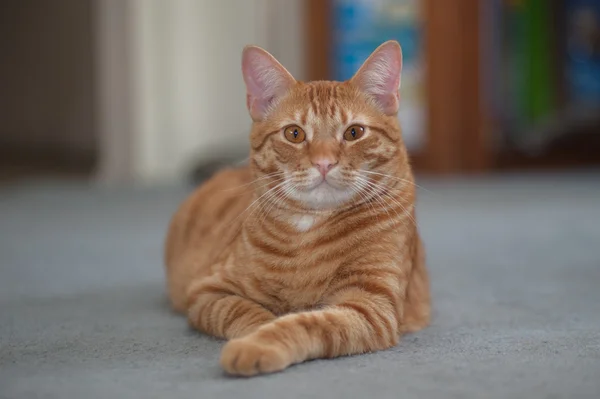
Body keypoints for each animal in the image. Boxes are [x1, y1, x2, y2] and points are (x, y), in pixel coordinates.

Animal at [162, 41, 428, 378]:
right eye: (294, 134)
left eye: (354, 132)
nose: (324, 163)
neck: (309, 229)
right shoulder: (209, 290)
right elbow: (247, 313)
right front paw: (257, 332)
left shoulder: (371, 306)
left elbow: (305, 323)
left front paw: (257, 345)